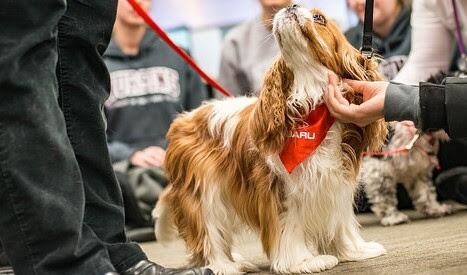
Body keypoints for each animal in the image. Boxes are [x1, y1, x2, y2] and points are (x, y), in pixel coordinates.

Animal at [154, 5, 388, 274]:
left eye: (319, 18)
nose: (291, 6)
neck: (311, 101)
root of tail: (183, 120)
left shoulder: (334, 183)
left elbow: (341, 222)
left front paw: (353, 250)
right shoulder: (283, 192)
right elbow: (291, 228)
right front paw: (304, 261)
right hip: (203, 194)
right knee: (208, 233)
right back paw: (223, 265)